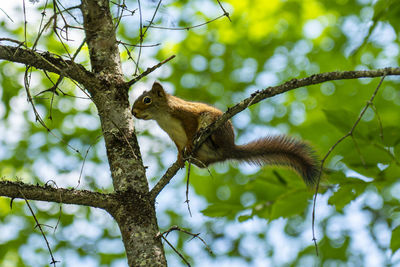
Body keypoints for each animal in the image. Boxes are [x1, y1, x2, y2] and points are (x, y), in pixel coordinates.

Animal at [133, 81, 320, 186]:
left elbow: (190, 131)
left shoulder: (187, 115)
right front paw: (180, 157)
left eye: (147, 100)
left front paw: (190, 143)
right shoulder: (172, 134)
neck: (162, 116)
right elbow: (179, 147)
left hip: (215, 125)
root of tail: (229, 149)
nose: (133, 112)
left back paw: (205, 137)